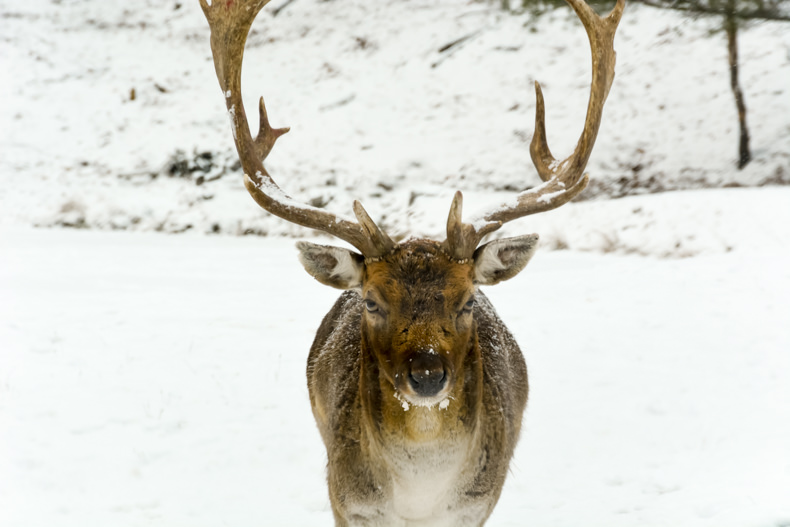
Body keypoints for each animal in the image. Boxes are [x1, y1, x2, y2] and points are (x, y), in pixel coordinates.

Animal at [201, 1, 628, 524]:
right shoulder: (347, 499)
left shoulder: (479, 504)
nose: (427, 375)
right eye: (371, 301)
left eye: (468, 301)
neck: (420, 499)